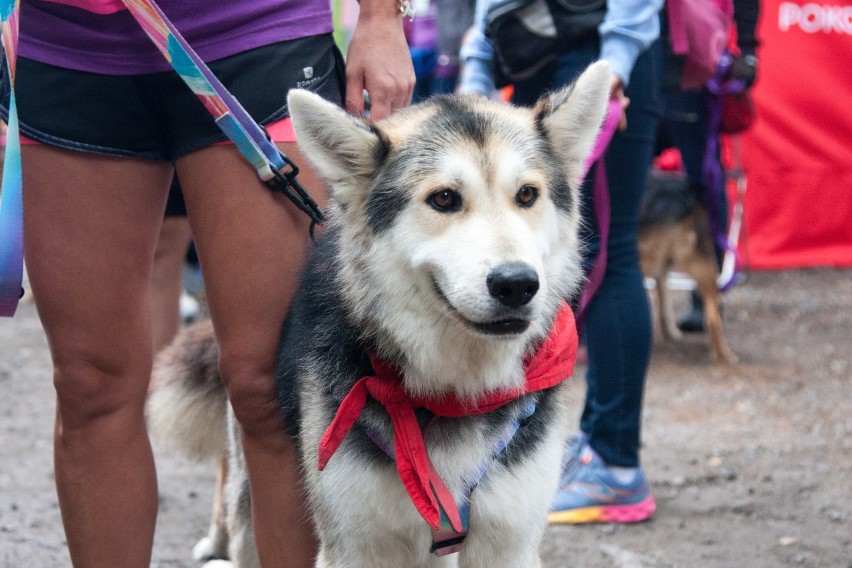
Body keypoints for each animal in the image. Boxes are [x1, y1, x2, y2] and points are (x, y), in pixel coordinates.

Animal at [148, 62, 612, 568]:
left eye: (527, 195)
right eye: (444, 199)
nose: (517, 285)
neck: (453, 392)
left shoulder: (509, 541)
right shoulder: (354, 543)